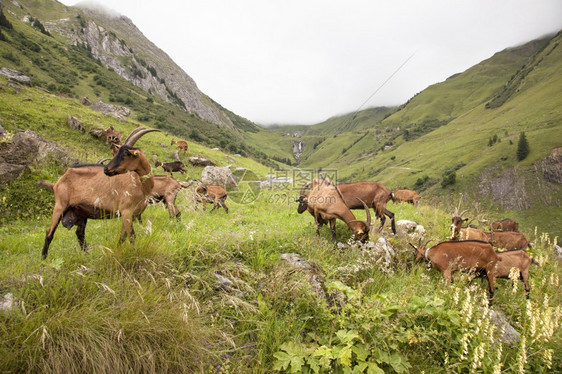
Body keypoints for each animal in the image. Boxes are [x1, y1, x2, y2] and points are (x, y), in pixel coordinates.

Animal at [40, 127, 159, 258]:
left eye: (125, 153)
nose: (106, 169)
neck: (139, 184)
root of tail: (57, 182)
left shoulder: (130, 215)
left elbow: (122, 237)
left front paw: (116, 251)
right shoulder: (126, 211)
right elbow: (132, 237)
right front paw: (135, 255)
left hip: (80, 212)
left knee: (79, 233)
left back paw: (87, 255)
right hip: (60, 206)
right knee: (49, 233)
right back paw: (44, 258)